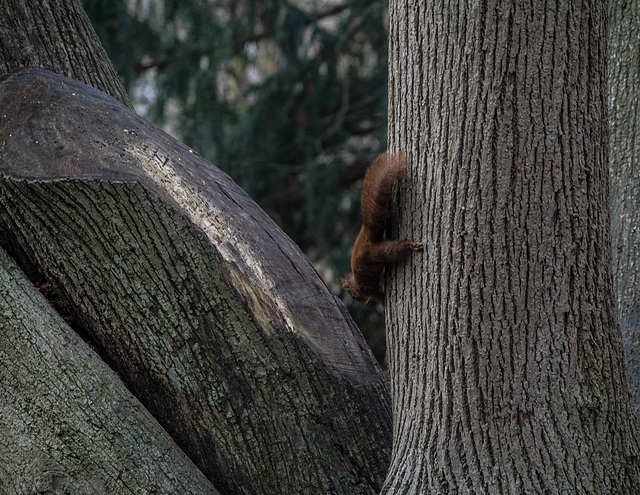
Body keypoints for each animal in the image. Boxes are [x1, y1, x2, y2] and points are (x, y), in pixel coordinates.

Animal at [338, 152, 422, 306]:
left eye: (352, 296)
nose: (361, 302)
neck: (356, 284)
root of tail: (365, 235)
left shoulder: (371, 288)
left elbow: (381, 297)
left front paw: (383, 306)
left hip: (379, 253)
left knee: (397, 248)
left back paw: (410, 245)